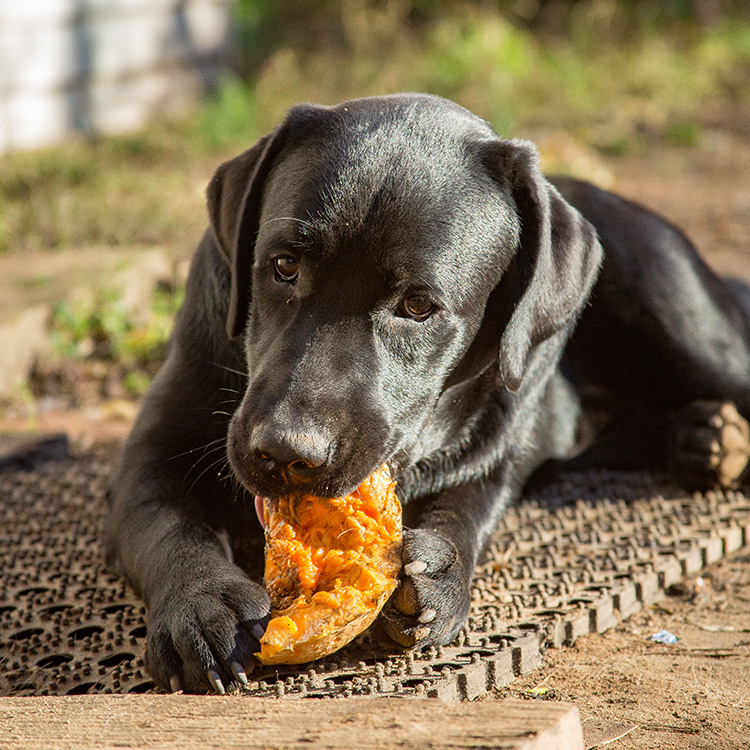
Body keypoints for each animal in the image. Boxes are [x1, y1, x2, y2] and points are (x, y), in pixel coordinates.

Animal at [106, 92, 750, 692]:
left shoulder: (502, 445)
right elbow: (170, 528)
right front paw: (202, 609)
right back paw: (701, 438)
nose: (287, 451)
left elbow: (465, 507)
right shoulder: (155, 450)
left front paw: (439, 571)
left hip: (677, 310)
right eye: (283, 265)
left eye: (418, 305)